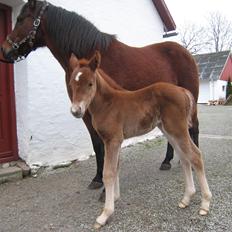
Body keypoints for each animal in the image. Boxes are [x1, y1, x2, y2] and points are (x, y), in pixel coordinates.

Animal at [68, 53, 211, 229]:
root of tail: (182, 90)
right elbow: (116, 168)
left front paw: (105, 214)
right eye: (71, 83)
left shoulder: (112, 140)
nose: (76, 111)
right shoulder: (116, 142)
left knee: (195, 156)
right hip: (169, 130)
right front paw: (115, 198)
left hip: (178, 129)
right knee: (184, 158)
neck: (107, 104)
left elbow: (108, 173)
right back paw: (186, 199)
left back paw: (205, 204)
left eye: (90, 83)